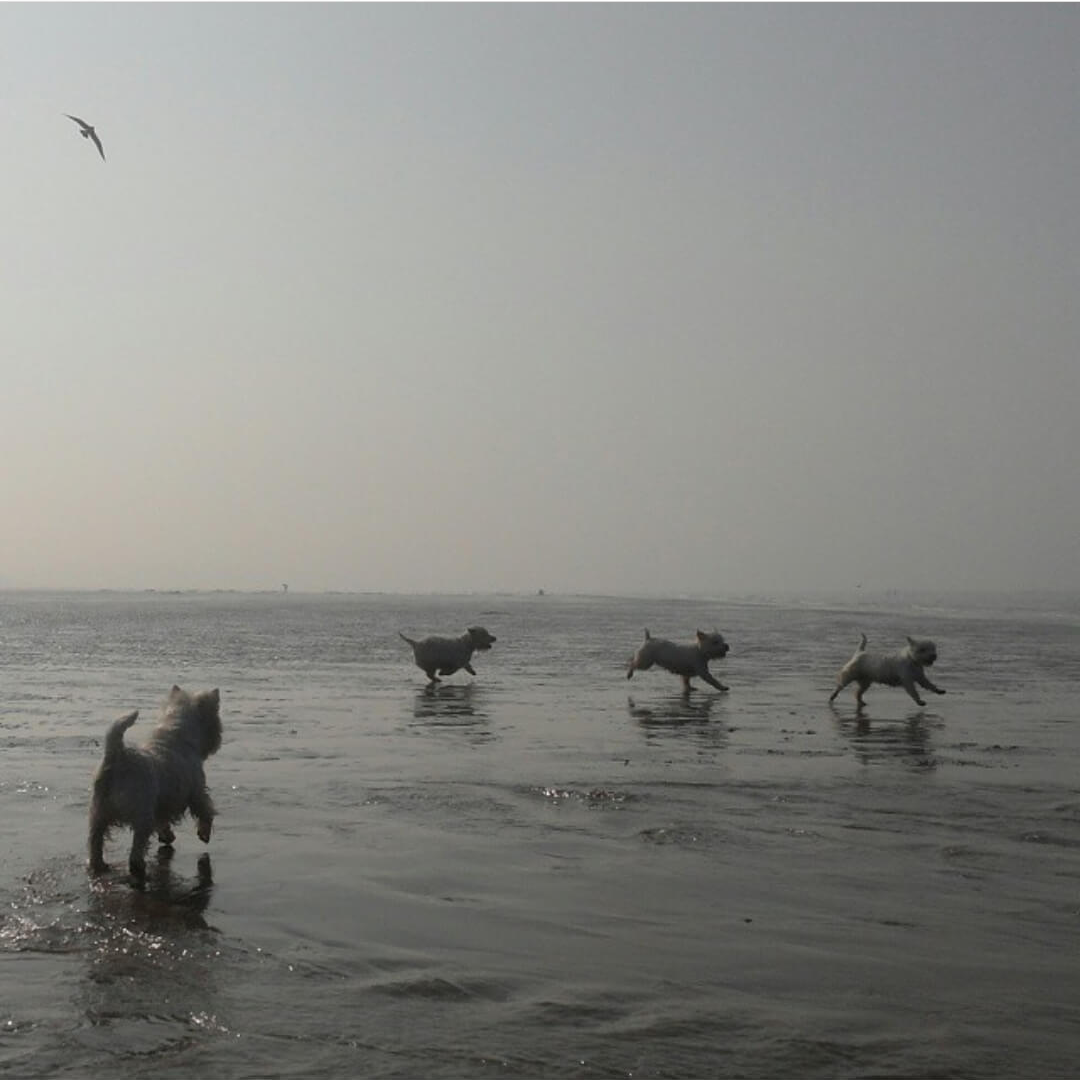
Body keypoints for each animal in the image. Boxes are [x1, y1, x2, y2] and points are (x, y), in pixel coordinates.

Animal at [88, 686, 223, 881]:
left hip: (98, 813)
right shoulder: (195, 792)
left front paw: (167, 836)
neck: (177, 735)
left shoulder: (161, 806)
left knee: (95, 842)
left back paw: (99, 864)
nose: (218, 740)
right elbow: (206, 811)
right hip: (142, 816)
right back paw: (139, 866)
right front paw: (204, 834)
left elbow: (163, 822)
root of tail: (117, 757)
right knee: (136, 850)